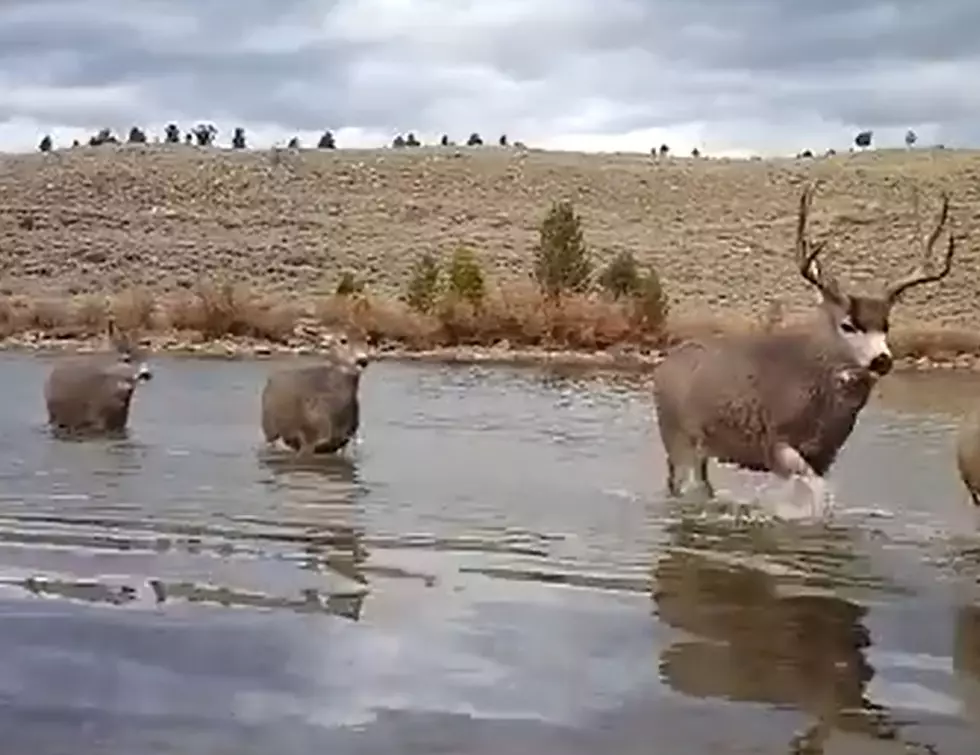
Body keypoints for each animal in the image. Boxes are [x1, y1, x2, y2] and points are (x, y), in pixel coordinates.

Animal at [652, 182, 956, 512]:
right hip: (678, 437)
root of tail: (663, 367)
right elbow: (815, 490)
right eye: (848, 325)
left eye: (886, 326)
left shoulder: (825, 454)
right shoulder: (774, 442)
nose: (882, 360)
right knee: (682, 483)